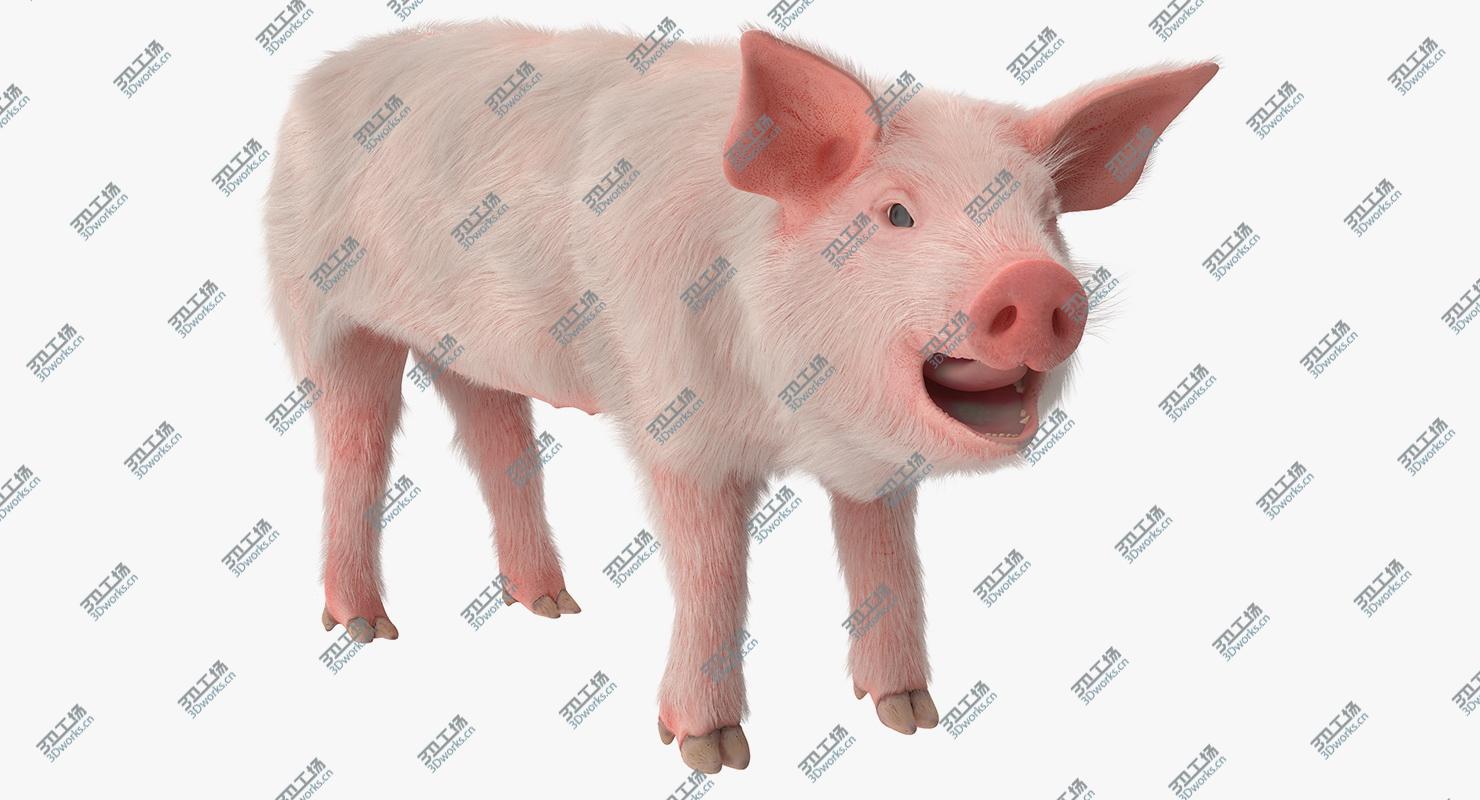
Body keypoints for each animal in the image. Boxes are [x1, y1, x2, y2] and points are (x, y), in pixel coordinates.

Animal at [263, 19, 1217, 773]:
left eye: (1047, 214)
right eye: (896, 214)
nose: (1040, 285)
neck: (791, 411)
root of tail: (317, 78)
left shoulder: (871, 465)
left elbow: (889, 562)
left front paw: (909, 718)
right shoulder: (676, 417)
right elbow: (711, 567)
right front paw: (710, 753)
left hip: (473, 346)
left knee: (496, 437)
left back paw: (553, 606)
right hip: (321, 309)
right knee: (354, 445)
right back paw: (365, 628)